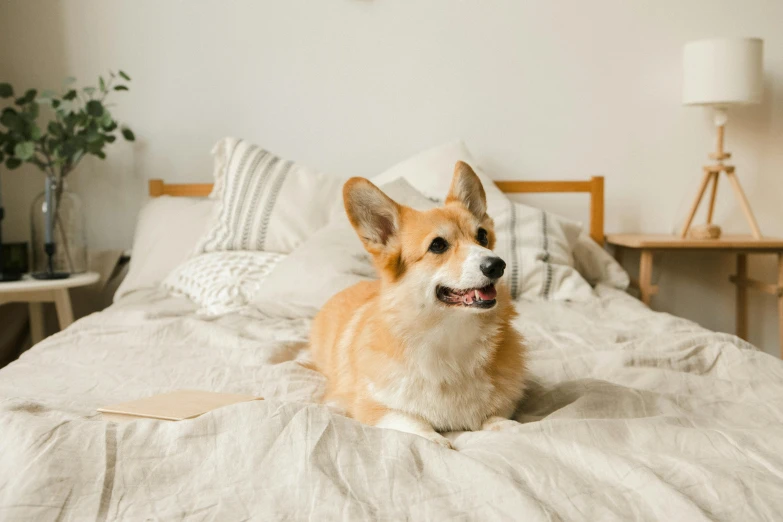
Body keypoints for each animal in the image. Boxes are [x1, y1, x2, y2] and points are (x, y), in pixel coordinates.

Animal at [310, 160, 528, 444]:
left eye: (482, 236)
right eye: (437, 245)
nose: (497, 265)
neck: (451, 337)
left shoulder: (502, 405)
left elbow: (496, 418)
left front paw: (510, 428)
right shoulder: (373, 407)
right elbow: (414, 423)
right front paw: (437, 440)